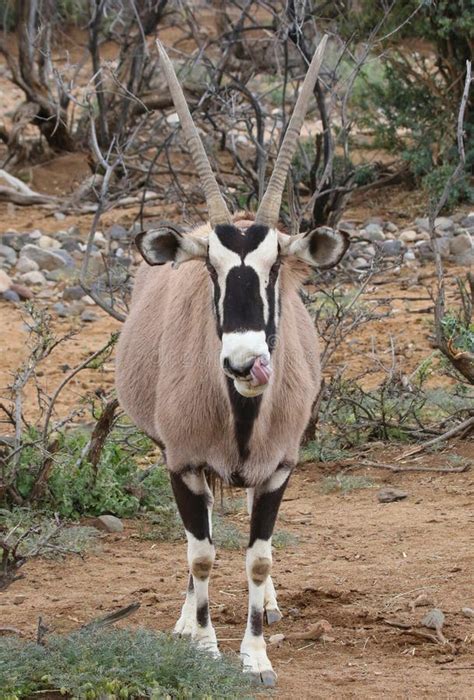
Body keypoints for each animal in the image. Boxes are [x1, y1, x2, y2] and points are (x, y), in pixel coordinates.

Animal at [116, 35, 350, 688]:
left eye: (276, 270)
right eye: (211, 271)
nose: (246, 364)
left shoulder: (278, 470)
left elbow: (259, 558)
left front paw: (257, 655)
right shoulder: (183, 463)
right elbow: (201, 554)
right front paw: (203, 646)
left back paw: (265, 611)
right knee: (197, 542)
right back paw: (185, 621)